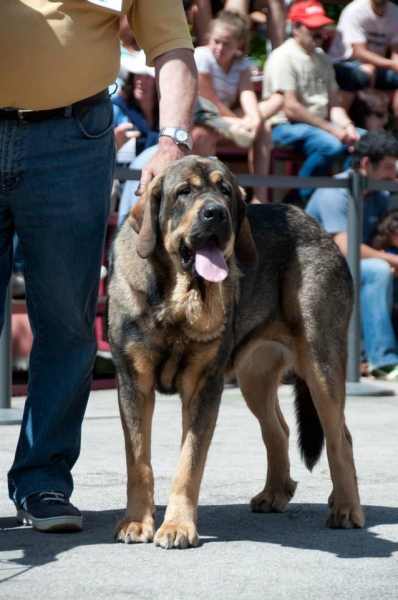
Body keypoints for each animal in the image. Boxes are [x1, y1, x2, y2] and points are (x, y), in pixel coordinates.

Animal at [107, 155, 366, 548]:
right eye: (184, 192)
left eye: (225, 191)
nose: (215, 213)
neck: (177, 298)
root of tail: (317, 227)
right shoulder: (132, 383)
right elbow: (138, 461)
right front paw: (136, 521)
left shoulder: (204, 386)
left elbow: (188, 464)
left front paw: (178, 526)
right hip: (254, 378)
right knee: (279, 432)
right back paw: (275, 494)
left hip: (320, 364)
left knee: (341, 438)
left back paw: (347, 507)